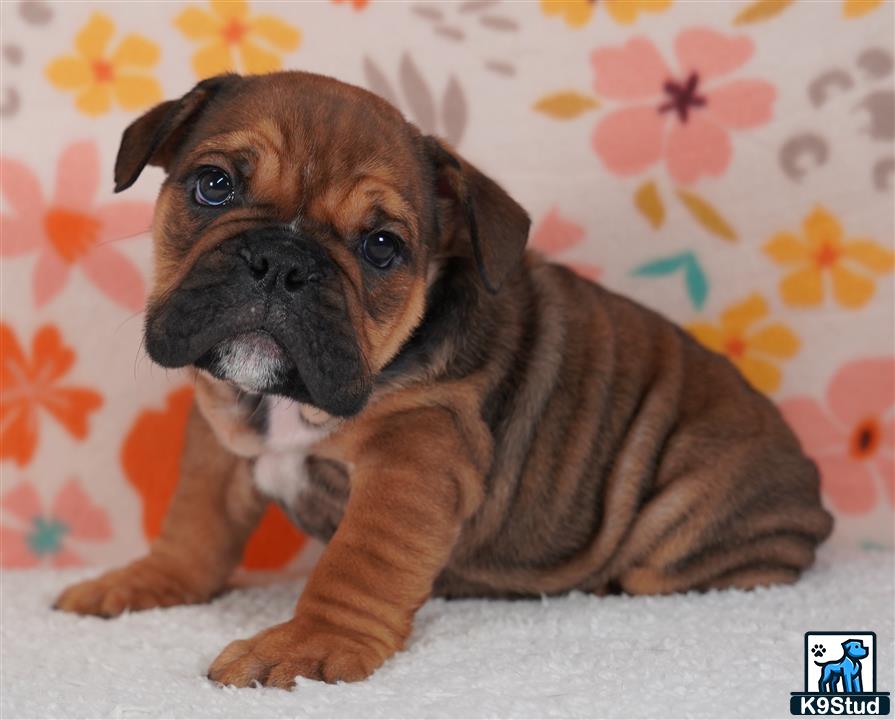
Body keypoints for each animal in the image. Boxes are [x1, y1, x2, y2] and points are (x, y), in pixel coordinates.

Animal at [56, 71, 836, 688]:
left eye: (381, 247)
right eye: (214, 185)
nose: (282, 263)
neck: (280, 404)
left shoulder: (416, 457)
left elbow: (359, 562)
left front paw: (310, 647)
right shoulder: (220, 434)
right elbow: (194, 524)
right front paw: (142, 583)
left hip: (689, 514)